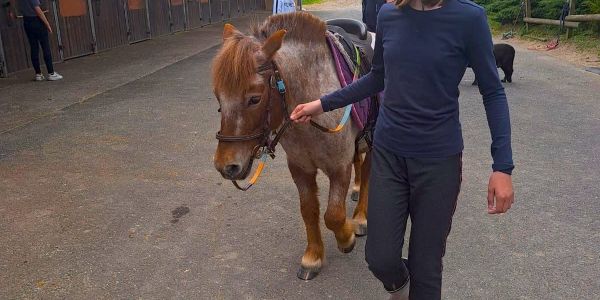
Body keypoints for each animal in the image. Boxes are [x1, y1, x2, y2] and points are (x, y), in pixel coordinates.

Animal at [211, 11, 370, 278]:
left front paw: (346, 237)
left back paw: (360, 219)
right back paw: (357, 189)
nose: (226, 166)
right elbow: (309, 210)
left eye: (255, 98)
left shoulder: (339, 167)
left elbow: (333, 215)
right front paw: (313, 256)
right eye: (218, 96)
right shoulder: (300, 168)